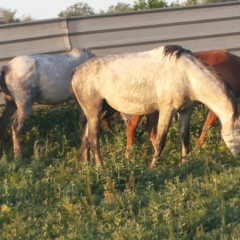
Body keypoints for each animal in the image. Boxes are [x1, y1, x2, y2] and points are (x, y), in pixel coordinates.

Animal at [70, 45, 240, 169]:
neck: (187, 76)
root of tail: (76, 71)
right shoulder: (167, 110)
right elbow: (160, 140)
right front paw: (153, 167)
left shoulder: (186, 110)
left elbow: (184, 137)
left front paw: (185, 163)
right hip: (94, 111)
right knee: (94, 138)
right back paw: (101, 168)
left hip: (104, 111)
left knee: (85, 136)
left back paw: (86, 166)